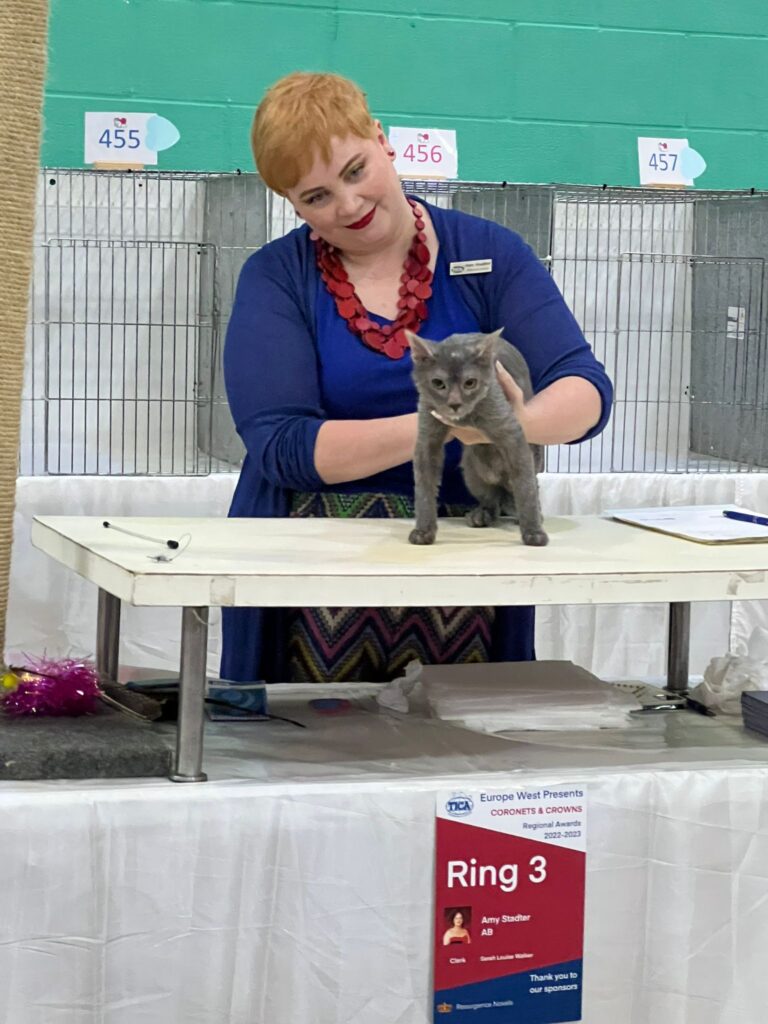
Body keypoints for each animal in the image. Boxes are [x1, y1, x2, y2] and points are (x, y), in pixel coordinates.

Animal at [409, 331, 548, 548]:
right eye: (438, 383)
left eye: (470, 383)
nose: (454, 403)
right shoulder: (426, 436)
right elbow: (424, 487)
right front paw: (423, 531)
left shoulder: (511, 432)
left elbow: (526, 489)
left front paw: (533, 532)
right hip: (471, 473)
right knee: (492, 501)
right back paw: (481, 515)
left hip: (533, 460)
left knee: (528, 486)